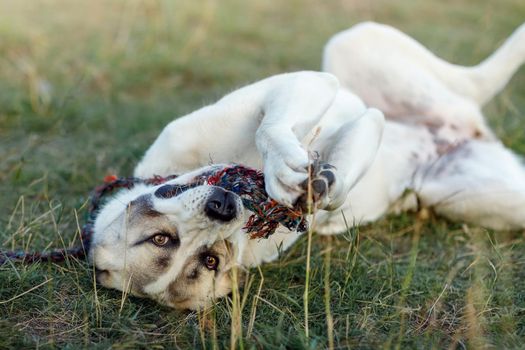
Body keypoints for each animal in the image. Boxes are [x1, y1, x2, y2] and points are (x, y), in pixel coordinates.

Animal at [89, 22, 524, 308]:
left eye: (160, 238)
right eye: (210, 259)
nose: (223, 206)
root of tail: (464, 126)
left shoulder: (306, 84)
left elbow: (273, 129)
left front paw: (286, 169)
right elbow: (362, 134)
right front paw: (327, 180)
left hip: (353, 41)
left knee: (473, 81)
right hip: (485, 197)